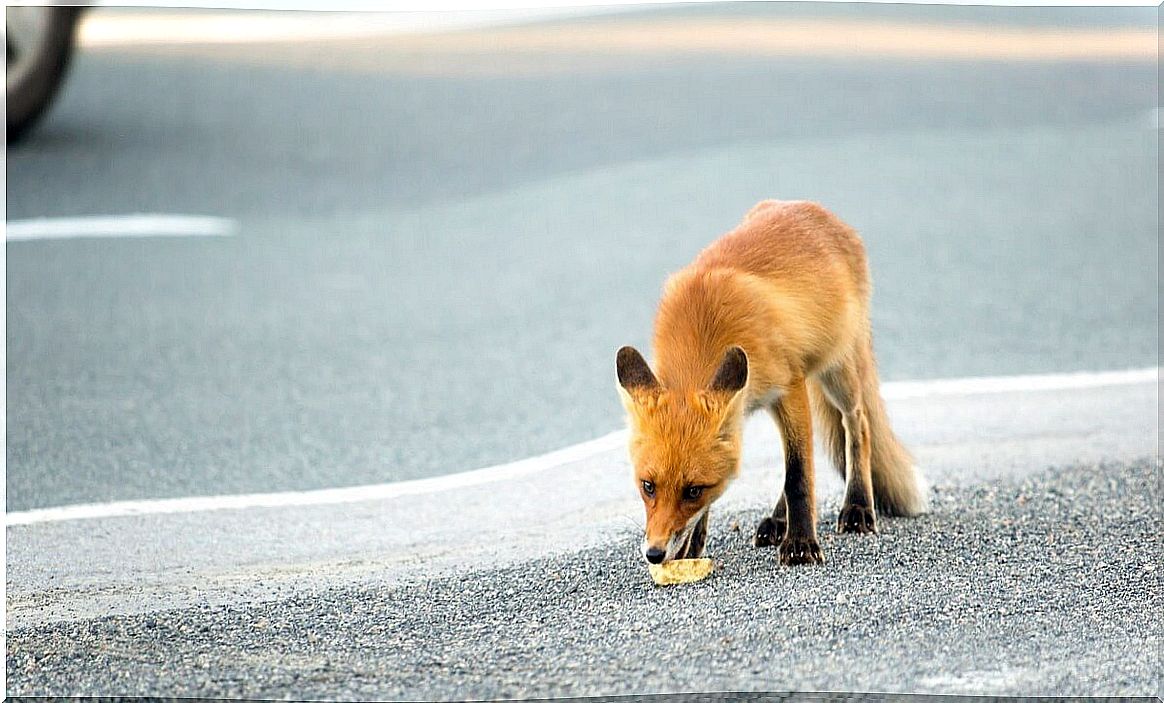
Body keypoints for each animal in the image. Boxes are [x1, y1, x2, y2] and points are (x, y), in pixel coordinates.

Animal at [619, 197, 926, 565]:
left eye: (692, 490)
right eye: (647, 486)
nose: (654, 553)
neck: (704, 329)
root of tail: (814, 208)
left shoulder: (790, 387)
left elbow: (798, 477)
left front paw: (801, 543)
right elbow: (788, 471)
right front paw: (692, 548)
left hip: (837, 372)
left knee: (857, 424)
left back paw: (857, 505)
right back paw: (779, 520)